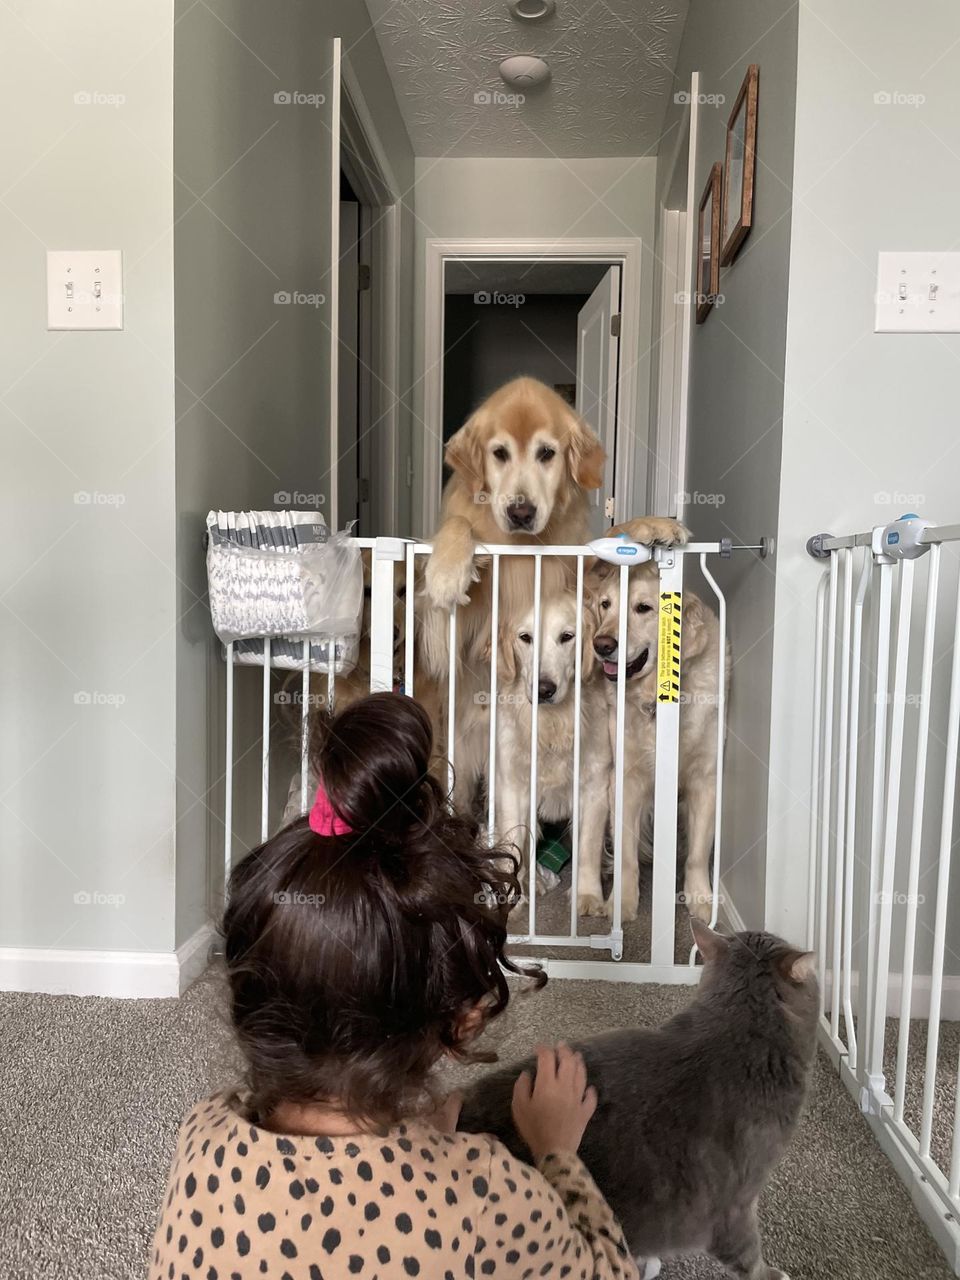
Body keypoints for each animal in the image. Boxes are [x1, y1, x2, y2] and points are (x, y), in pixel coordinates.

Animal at [586, 560, 737, 921]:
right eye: (605, 604)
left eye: (643, 608)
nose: (602, 644)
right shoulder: (625, 779)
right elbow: (626, 853)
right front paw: (622, 904)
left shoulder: (705, 778)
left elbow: (697, 852)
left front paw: (700, 899)